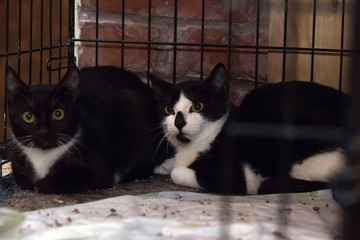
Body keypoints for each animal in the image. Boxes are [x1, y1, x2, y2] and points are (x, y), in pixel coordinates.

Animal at [5, 65, 169, 193]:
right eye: (28, 116)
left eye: (58, 114)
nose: (44, 132)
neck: (43, 157)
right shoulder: (17, 163)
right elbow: (23, 179)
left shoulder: (100, 168)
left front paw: (41, 183)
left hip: (131, 105)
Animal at [150, 62, 350, 194]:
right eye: (169, 110)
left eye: (197, 106)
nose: (179, 123)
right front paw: (164, 164)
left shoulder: (233, 177)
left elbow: (178, 172)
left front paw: (174, 168)